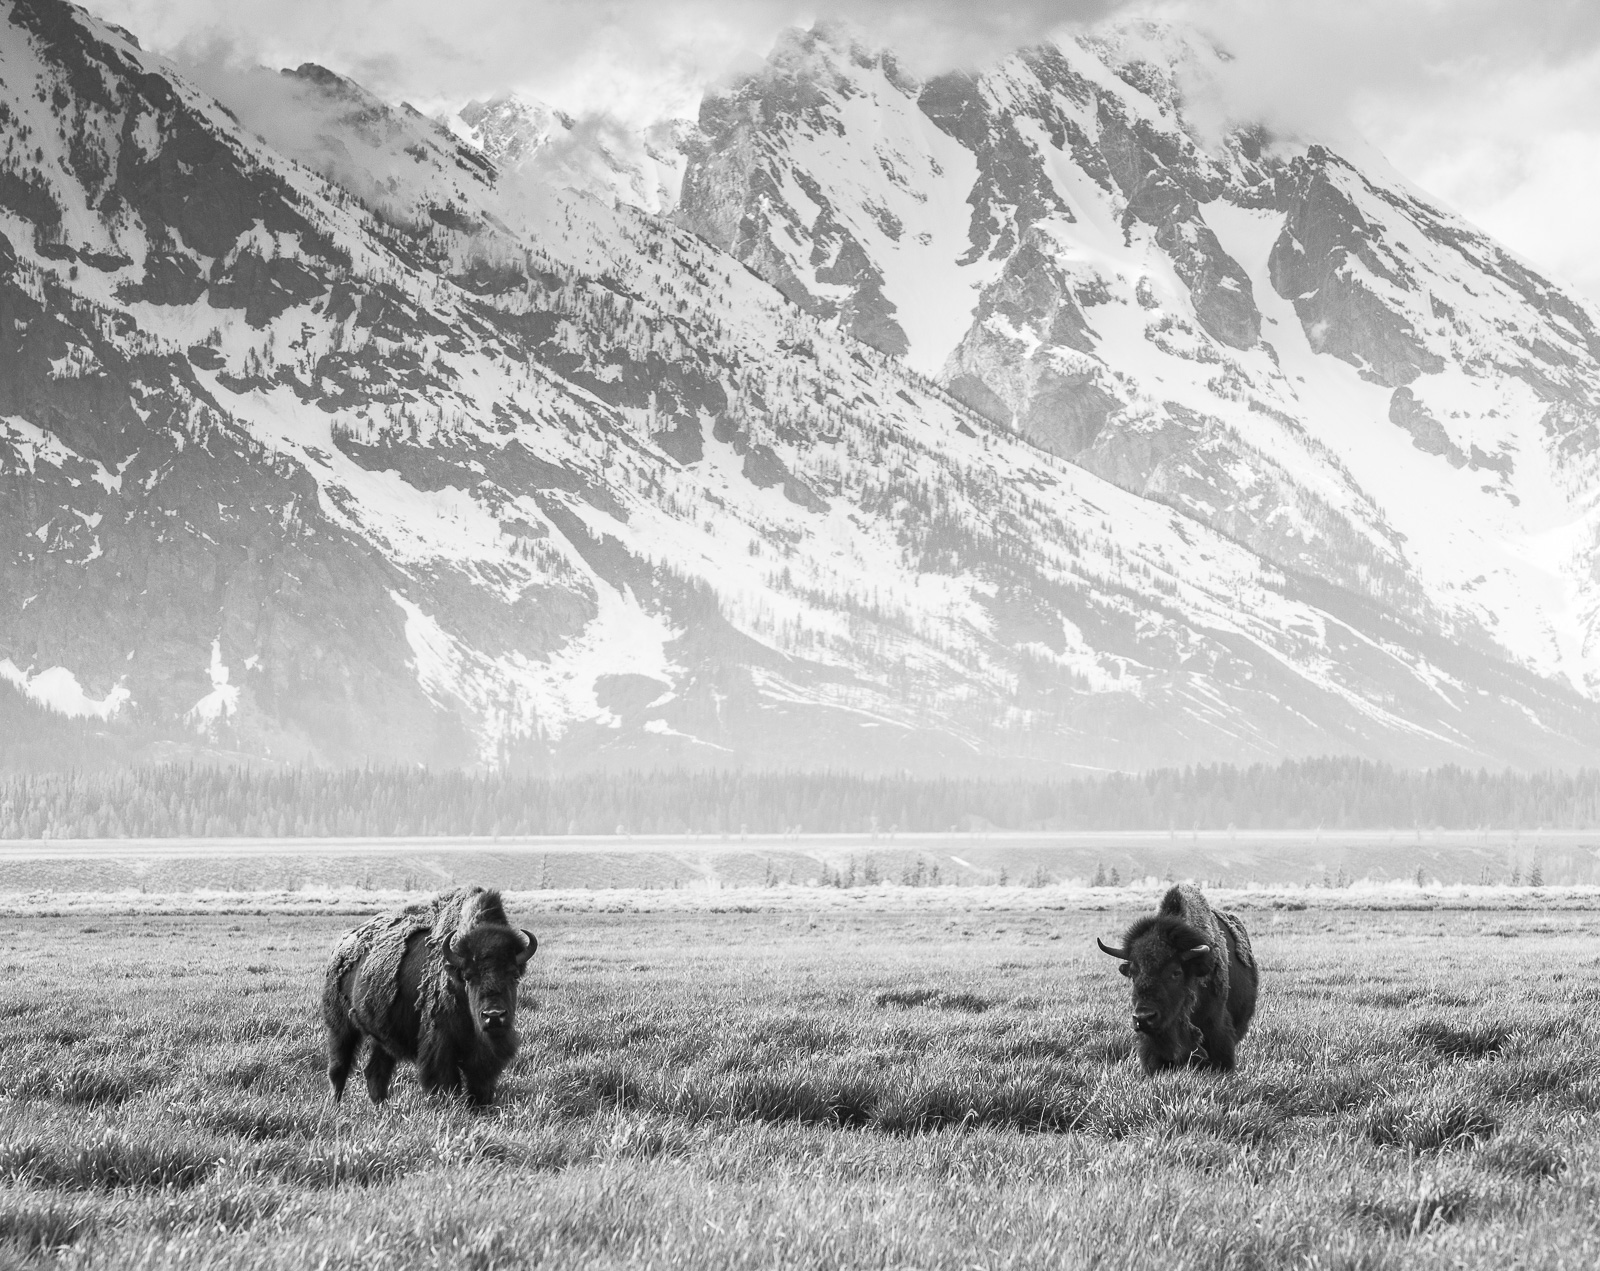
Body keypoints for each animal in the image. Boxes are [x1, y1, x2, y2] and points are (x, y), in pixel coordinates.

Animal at [323, 883, 537, 1101]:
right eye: (468, 977)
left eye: (514, 975)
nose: (493, 1016)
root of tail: (341, 945)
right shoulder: (440, 1044)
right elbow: (446, 1082)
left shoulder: (483, 1056)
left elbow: (480, 1083)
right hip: (341, 1027)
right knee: (338, 1068)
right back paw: (335, 1104)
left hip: (382, 1035)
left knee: (376, 1072)